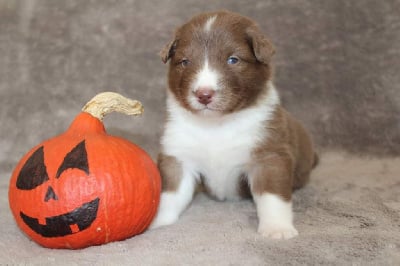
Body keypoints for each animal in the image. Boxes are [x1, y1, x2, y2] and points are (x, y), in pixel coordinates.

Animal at [150, 9, 318, 239]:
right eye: (185, 62)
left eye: (233, 60)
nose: (204, 94)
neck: (216, 125)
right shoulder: (178, 155)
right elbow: (170, 193)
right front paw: (156, 221)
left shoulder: (269, 155)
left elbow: (272, 196)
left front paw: (277, 228)